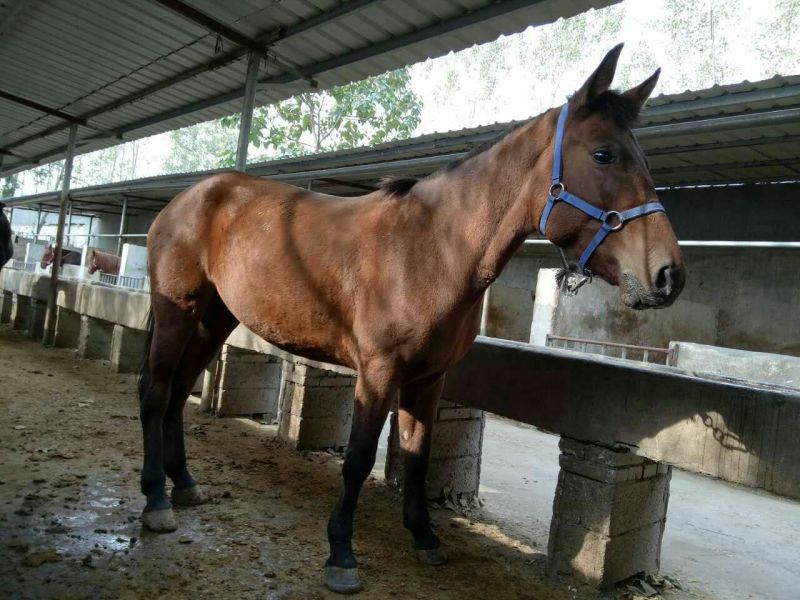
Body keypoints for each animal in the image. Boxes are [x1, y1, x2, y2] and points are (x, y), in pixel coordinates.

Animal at [138, 44, 685, 594]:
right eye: (603, 154)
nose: (669, 275)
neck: (431, 249)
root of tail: (189, 198)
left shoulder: (428, 378)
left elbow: (419, 455)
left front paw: (424, 537)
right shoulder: (378, 373)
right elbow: (359, 458)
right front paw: (341, 552)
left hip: (214, 318)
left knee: (179, 390)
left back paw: (183, 484)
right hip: (178, 311)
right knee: (157, 390)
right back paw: (156, 501)